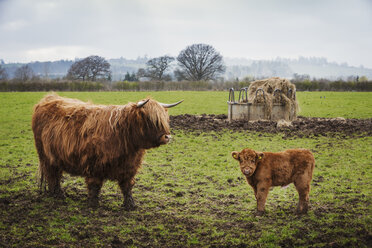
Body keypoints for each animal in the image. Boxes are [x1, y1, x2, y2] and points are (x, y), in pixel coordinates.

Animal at [32, 93, 183, 209]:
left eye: (165, 119)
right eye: (151, 120)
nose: (167, 137)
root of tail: (48, 98)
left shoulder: (129, 167)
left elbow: (127, 186)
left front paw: (130, 205)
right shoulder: (94, 165)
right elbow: (95, 185)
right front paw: (93, 204)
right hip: (46, 157)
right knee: (52, 175)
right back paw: (57, 194)